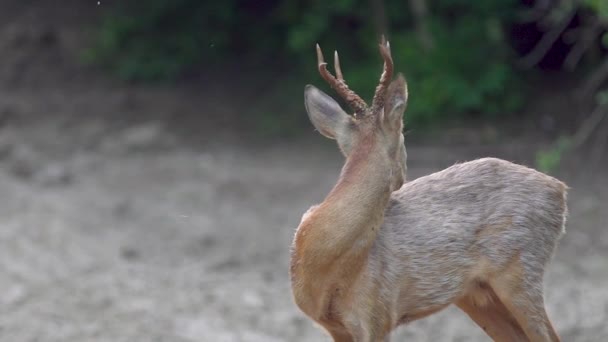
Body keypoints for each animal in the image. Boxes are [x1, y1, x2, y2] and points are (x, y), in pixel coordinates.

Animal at [288, 38, 564, 340]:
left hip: (520, 268)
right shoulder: (336, 326)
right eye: (403, 139)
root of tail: (559, 190)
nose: (402, 179)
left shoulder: (378, 312)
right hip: (479, 294)